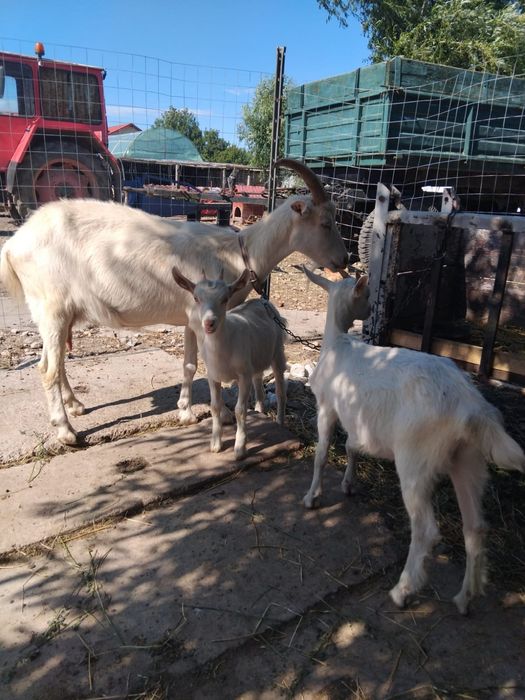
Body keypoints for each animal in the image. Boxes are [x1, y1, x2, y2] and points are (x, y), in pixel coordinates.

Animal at [172, 267, 286, 459]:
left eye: (225, 299)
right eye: (196, 298)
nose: (209, 323)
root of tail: (262, 301)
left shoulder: (243, 375)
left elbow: (240, 410)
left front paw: (240, 447)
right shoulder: (213, 375)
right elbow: (215, 406)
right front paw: (215, 444)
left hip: (277, 352)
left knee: (279, 390)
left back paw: (279, 421)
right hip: (255, 358)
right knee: (258, 379)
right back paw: (260, 409)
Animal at [302, 266, 524, 614]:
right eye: (365, 294)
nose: (369, 309)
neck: (338, 343)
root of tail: (471, 407)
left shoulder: (327, 406)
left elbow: (322, 453)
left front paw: (312, 497)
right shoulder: (358, 420)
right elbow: (351, 447)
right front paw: (348, 484)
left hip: (416, 459)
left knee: (426, 530)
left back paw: (403, 590)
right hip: (468, 459)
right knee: (475, 526)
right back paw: (464, 598)